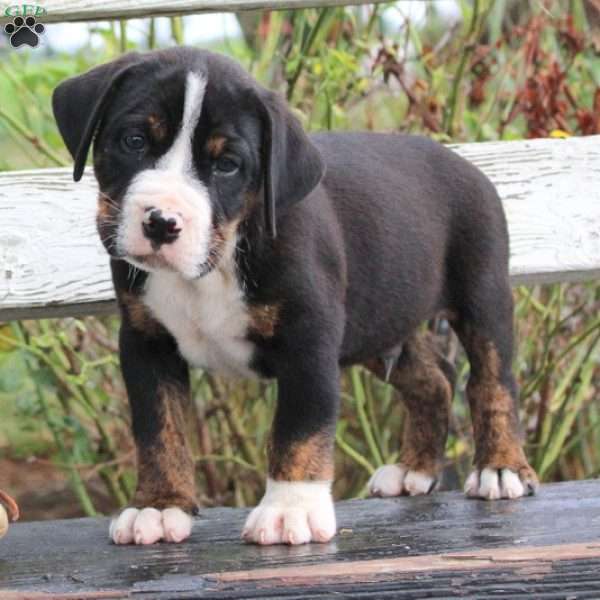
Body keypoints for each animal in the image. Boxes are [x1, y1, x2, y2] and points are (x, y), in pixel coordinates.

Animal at [51, 49, 540, 548]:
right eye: (133, 141)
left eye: (227, 165)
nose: (162, 222)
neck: (221, 258)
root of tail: (467, 162)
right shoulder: (146, 341)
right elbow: (158, 427)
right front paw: (160, 504)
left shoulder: (310, 340)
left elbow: (300, 425)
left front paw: (291, 509)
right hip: (378, 323)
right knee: (434, 380)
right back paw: (414, 470)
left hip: (482, 295)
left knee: (492, 381)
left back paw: (501, 467)